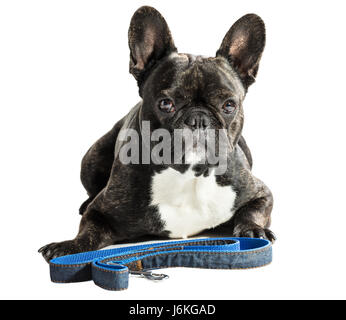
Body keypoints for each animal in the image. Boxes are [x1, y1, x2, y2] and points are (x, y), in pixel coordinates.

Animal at [39, 5, 274, 262]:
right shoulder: (100, 212)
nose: (199, 119)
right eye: (165, 103)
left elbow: (252, 212)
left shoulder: (259, 193)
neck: (188, 174)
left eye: (229, 105)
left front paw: (254, 230)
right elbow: (88, 232)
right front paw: (68, 246)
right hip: (92, 159)